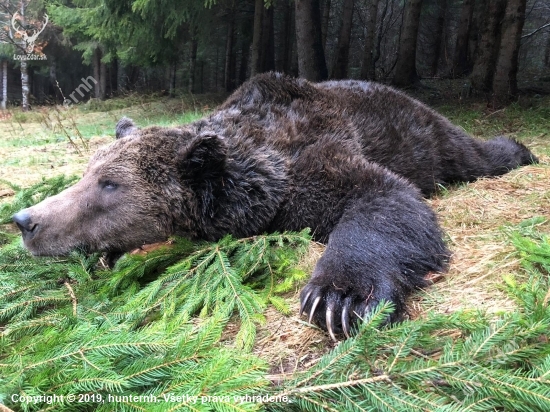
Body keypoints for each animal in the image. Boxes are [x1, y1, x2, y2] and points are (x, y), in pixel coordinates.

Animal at [11, 71, 540, 342]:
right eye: (86, 172)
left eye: (109, 184)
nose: (25, 220)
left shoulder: (315, 156)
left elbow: (385, 197)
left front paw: (336, 298)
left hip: (423, 134)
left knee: (470, 155)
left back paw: (521, 151)